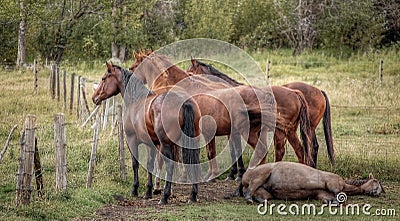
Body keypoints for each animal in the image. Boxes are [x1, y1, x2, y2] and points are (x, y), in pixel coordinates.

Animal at [92, 61, 202, 204]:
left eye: (103, 78)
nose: (94, 98)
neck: (136, 99)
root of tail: (185, 102)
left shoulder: (132, 140)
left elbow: (135, 164)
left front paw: (135, 190)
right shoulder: (152, 144)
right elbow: (150, 164)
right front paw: (148, 192)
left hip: (166, 145)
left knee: (170, 165)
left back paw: (165, 197)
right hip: (190, 142)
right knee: (193, 162)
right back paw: (192, 195)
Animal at [189, 57, 332, 169]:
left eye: (190, 72)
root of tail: (296, 93)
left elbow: (235, 150)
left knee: (302, 148)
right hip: (293, 130)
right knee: (306, 148)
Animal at [234, 161, 384, 204]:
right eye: (375, 181)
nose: (377, 193)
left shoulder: (322, 194)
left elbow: (328, 198)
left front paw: (331, 202)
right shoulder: (333, 184)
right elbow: (340, 196)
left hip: (265, 192)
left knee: (260, 196)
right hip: (261, 176)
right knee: (249, 191)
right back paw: (249, 199)